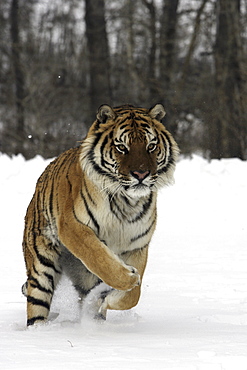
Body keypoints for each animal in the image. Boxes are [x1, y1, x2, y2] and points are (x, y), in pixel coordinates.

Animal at [22, 102, 178, 326]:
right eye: (122, 147)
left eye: (151, 146)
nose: (141, 174)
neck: (127, 201)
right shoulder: (72, 226)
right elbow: (98, 257)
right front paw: (129, 278)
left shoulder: (137, 245)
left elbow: (134, 296)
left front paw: (108, 299)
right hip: (41, 268)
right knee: (37, 306)